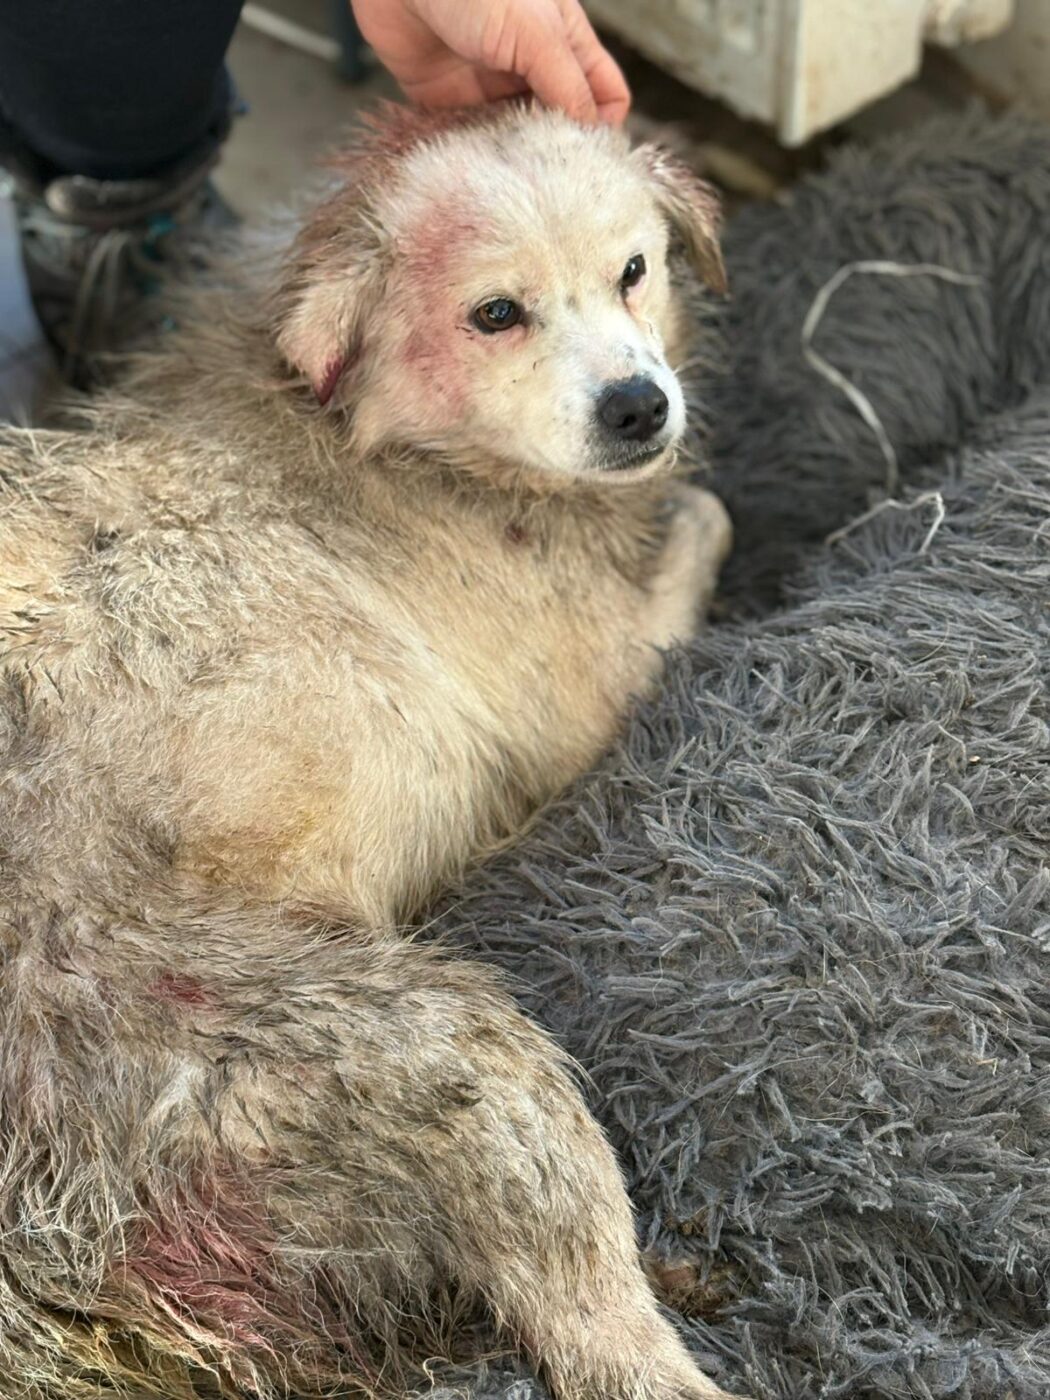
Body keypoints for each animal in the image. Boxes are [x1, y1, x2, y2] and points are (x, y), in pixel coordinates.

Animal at [0, 103, 740, 1399]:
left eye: (634, 271)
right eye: (495, 312)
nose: (640, 406)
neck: (360, 425)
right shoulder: (593, 680)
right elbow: (707, 519)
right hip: (438, 1060)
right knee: (600, 1333)